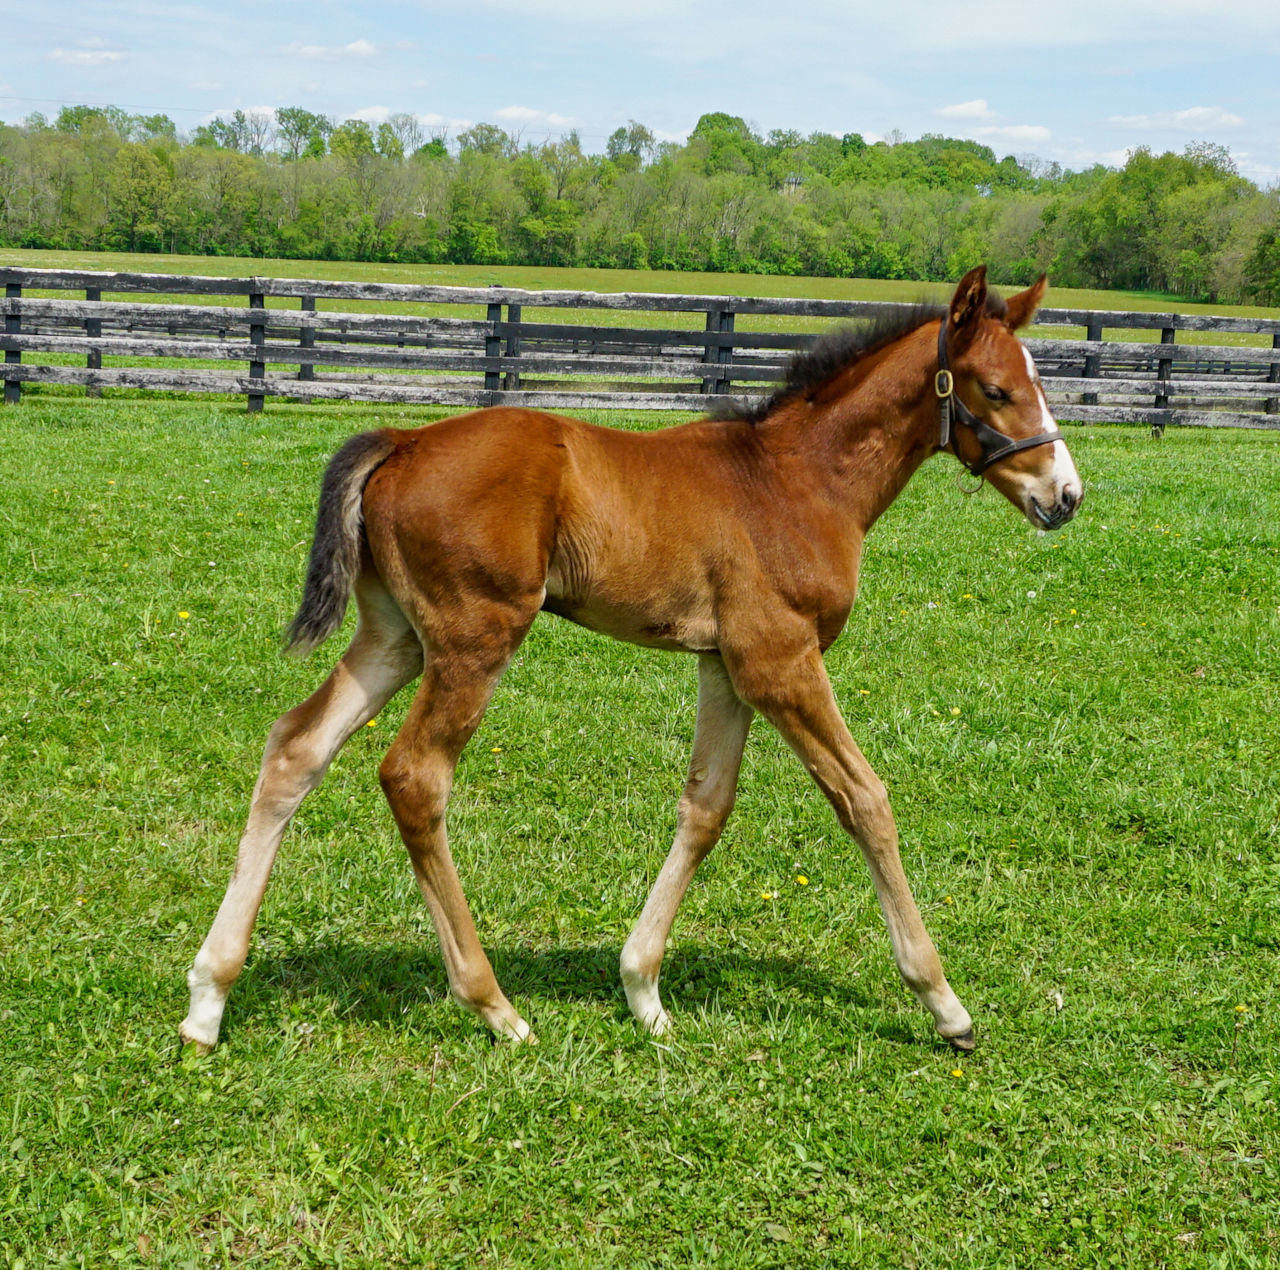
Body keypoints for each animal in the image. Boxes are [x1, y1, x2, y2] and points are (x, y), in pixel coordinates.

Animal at [180, 265, 1080, 1049]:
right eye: (995, 389)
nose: (1065, 495)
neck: (796, 480)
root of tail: (400, 439)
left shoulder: (725, 664)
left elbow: (706, 807)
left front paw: (643, 989)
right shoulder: (780, 660)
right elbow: (864, 798)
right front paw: (944, 1003)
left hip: (396, 636)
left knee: (296, 747)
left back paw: (208, 999)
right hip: (475, 637)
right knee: (414, 776)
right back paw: (493, 1005)